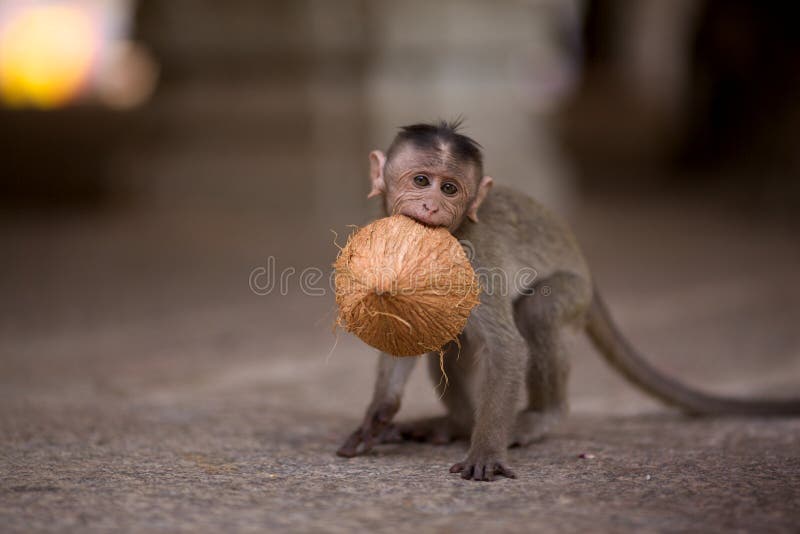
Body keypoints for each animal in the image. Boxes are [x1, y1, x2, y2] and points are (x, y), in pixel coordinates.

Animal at [335, 120, 800, 482]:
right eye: (421, 181)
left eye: (450, 188)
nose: (432, 205)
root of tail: (586, 267)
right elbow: (404, 333)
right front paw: (377, 416)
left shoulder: (473, 261)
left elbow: (507, 348)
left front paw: (486, 451)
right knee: (449, 340)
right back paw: (457, 423)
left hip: (573, 293)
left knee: (537, 310)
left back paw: (539, 416)